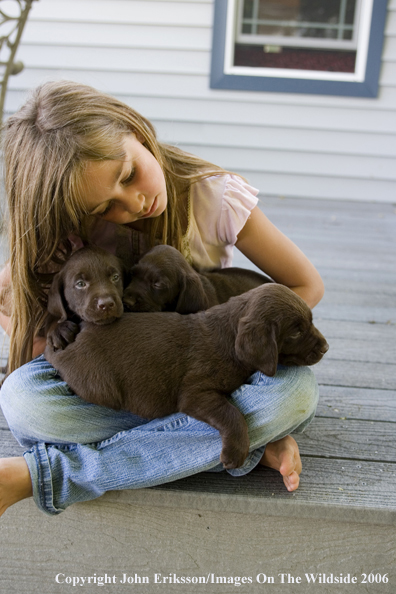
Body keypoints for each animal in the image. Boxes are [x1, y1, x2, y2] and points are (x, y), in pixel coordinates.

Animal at [44, 250, 328, 468]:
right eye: (296, 332)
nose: (326, 347)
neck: (228, 335)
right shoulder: (195, 393)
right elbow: (233, 413)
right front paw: (235, 453)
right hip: (100, 385)